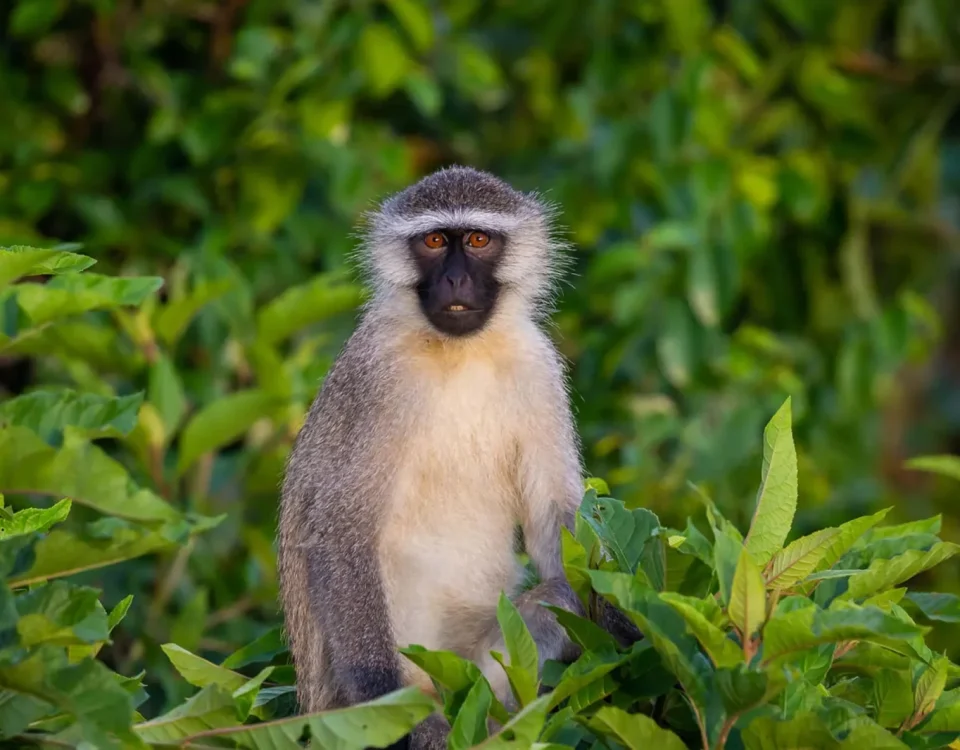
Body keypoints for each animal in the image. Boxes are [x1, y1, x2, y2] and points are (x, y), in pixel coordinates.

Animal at [277, 166, 640, 750]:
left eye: (476, 240)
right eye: (432, 241)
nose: (454, 281)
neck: (459, 351)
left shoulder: (536, 366)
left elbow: (554, 523)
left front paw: (630, 629)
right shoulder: (375, 378)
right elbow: (338, 529)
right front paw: (389, 705)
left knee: (559, 597)